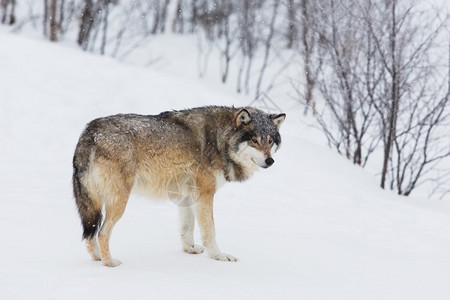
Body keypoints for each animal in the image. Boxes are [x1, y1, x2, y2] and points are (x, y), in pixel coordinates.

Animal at [73, 106, 284, 268]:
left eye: (270, 141)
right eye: (254, 141)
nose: (270, 160)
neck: (220, 140)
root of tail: (90, 132)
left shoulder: (187, 196)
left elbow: (187, 227)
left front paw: (190, 249)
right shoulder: (205, 194)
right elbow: (210, 230)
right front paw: (219, 256)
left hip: (95, 204)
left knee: (90, 235)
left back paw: (98, 258)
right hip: (119, 201)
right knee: (102, 233)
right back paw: (109, 263)